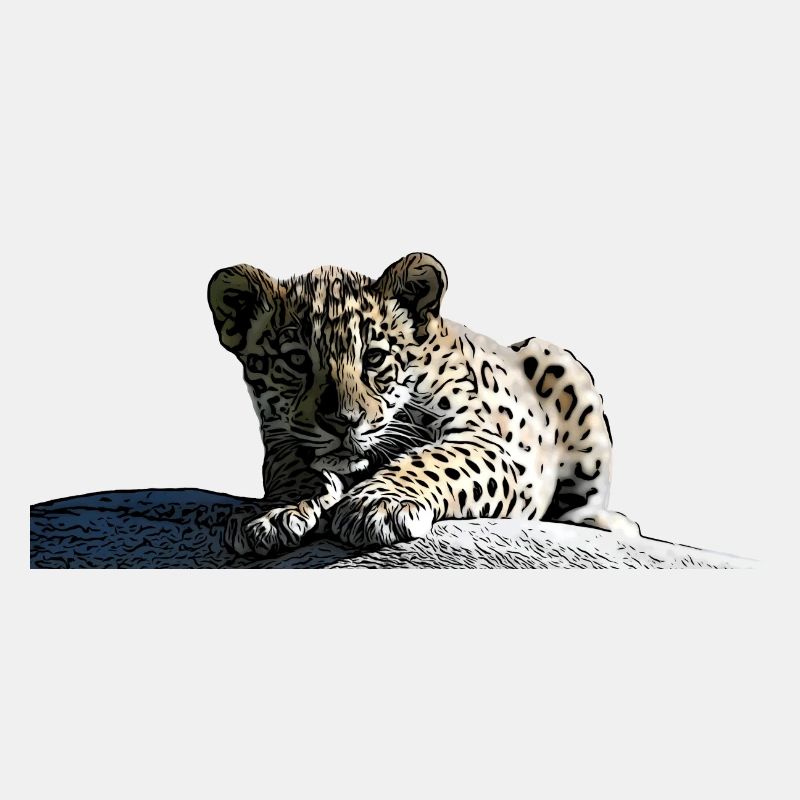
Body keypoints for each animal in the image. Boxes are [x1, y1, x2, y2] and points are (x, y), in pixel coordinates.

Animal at [207, 252, 639, 556]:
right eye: (297, 360)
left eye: (374, 358)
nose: (344, 421)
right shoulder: (279, 439)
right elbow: (291, 466)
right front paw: (275, 512)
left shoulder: (488, 442)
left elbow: (432, 459)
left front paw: (379, 505)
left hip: (561, 365)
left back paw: (605, 521)